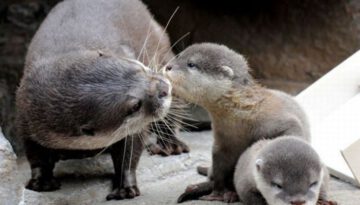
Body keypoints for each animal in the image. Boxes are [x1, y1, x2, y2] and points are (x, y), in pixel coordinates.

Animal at [16, 0, 186, 200]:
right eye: (135, 106)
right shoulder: (26, 115)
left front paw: (124, 187)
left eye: (137, 67)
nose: (163, 88)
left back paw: (170, 144)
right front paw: (41, 181)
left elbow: (130, 153)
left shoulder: (132, 130)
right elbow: (35, 154)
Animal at [165, 42, 310, 202]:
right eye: (178, 56)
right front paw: (217, 194)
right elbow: (220, 170)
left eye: (191, 64)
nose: (168, 66)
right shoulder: (222, 143)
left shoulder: (282, 120)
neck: (243, 115)